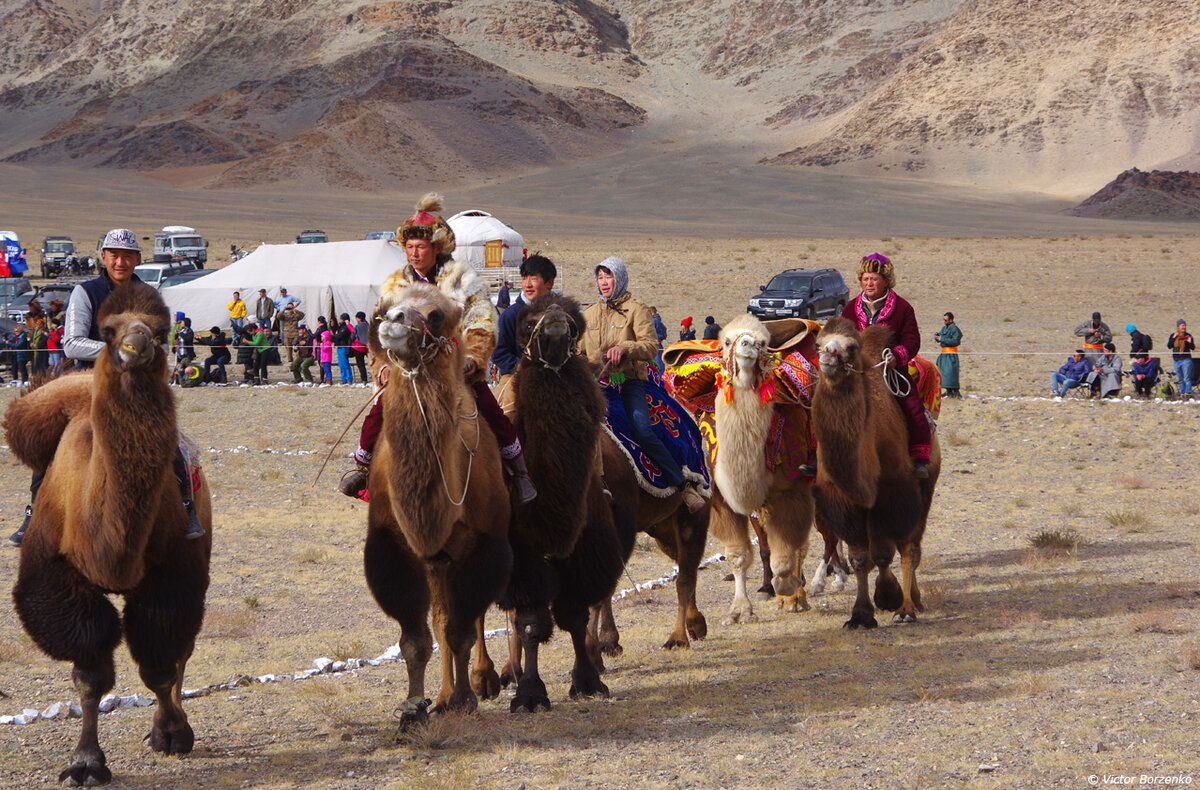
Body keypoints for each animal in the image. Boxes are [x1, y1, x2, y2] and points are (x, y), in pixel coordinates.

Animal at [6, 280, 213, 782]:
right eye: (106, 330)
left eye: (161, 330)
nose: (135, 346)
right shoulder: (56, 578)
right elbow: (90, 676)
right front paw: (85, 762)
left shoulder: (172, 576)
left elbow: (160, 664)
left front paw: (171, 734)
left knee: (183, 650)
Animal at [364, 278, 516, 725]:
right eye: (385, 306)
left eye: (435, 315)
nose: (392, 321)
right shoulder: (393, 544)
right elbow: (416, 638)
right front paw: (414, 707)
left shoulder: (485, 545)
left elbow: (461, 629)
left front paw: (465, 697)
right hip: (438, 562)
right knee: (442, 611)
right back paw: (447, 693)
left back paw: (484, 681)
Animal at [811, 314, 940, 629]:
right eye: (818, 343)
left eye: (851, 347)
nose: (828, 356)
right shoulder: (844, 503)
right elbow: (860, 557)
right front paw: (860, 614)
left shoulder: (892, 496)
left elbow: (884, 554)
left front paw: (891, 597)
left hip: (924, 490)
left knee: (910, 548)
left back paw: (911, 603)